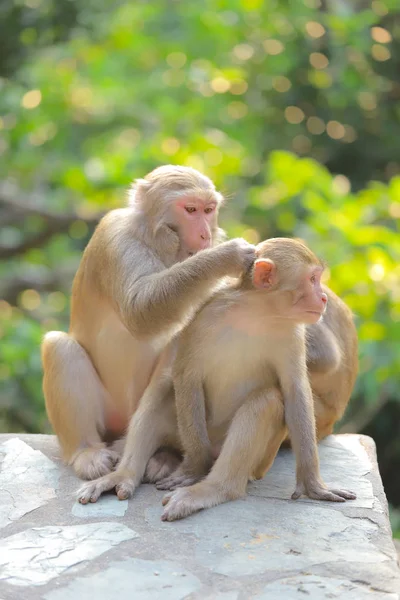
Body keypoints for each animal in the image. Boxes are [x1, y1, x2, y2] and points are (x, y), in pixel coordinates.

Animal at [41, 165, 256, 482]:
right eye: (190, 210)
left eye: (209, 210)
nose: (205, 234)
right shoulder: (115, 239)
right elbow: (139, 309)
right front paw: (226, 257)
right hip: (110, 414)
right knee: (59, 347)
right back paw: (86, 452)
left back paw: (165, 455)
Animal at [76, 238, 358, 516]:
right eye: (312, 279)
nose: (323, 297)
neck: (257, 312)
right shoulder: (205, 315)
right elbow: (186, 374)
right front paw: (194, 469)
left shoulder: (291, 334)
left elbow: (294, 391)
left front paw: (312, 485)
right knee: (165, 389)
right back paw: (125, 474)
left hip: (258, 461)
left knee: (266, 400)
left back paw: (213, 489)